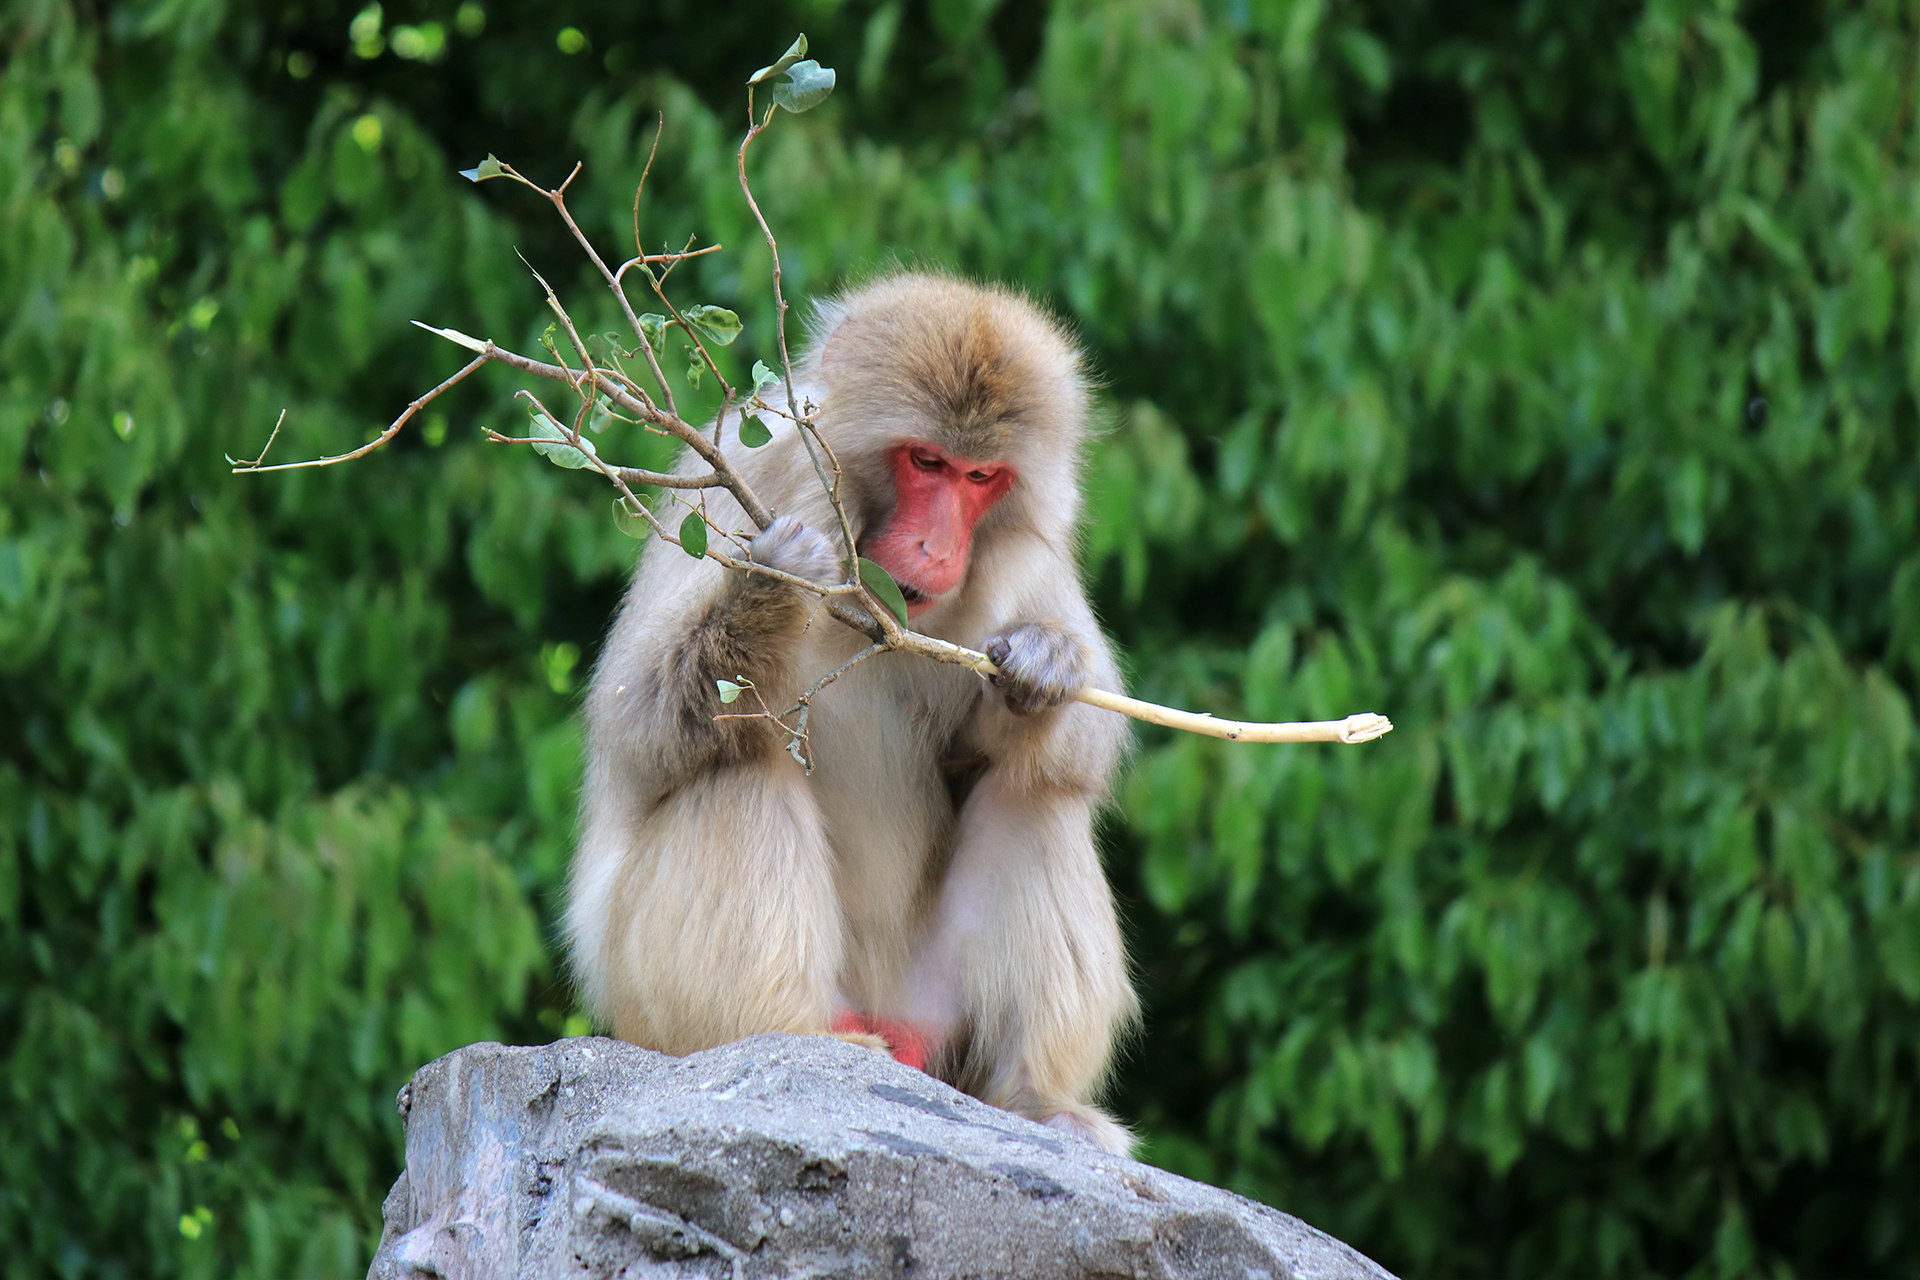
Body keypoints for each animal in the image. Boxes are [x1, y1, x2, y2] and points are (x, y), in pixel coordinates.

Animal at [568, 270, 1136, 1151]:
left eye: (983, 478)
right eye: (926, 461)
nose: (937, 550)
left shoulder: (1027, 557)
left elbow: (1059, 742)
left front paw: (1046, 664)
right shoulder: (751, 472)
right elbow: (633, 727)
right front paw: (769, 595)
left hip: (938, 1021)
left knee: (1034, 795)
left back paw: (1036, 1100)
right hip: (653, 1012)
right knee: (738, 768)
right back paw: (790, 1034)